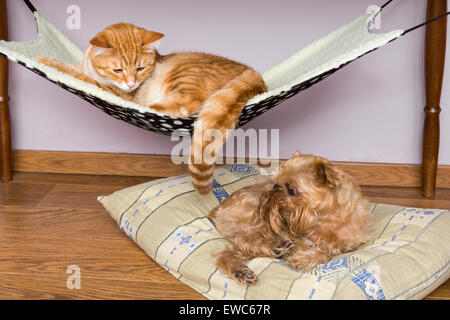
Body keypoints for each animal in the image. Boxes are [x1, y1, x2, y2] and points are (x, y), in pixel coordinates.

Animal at [37, 23, 268, 194]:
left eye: (140, 68)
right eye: (118, 70)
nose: (131, 84)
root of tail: (254, 74)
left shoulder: (116, 92)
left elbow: (79, 75)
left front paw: (46, 60)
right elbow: (75, 68)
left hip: (185, 76)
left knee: (187, 104)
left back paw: (143, 108)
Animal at [207, 152, 370, 284]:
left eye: (291, 190)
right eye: (275, 183)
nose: (273, 188)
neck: (327, 218)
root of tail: (217, 209)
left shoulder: (347, 245)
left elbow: (328, 251)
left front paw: (304, 258)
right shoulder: (292, 234)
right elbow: (308, 245)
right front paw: (300, 254)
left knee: (226, 253)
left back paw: (241, 271)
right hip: (256, 218)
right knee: (246, 240)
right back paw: (276, 247)